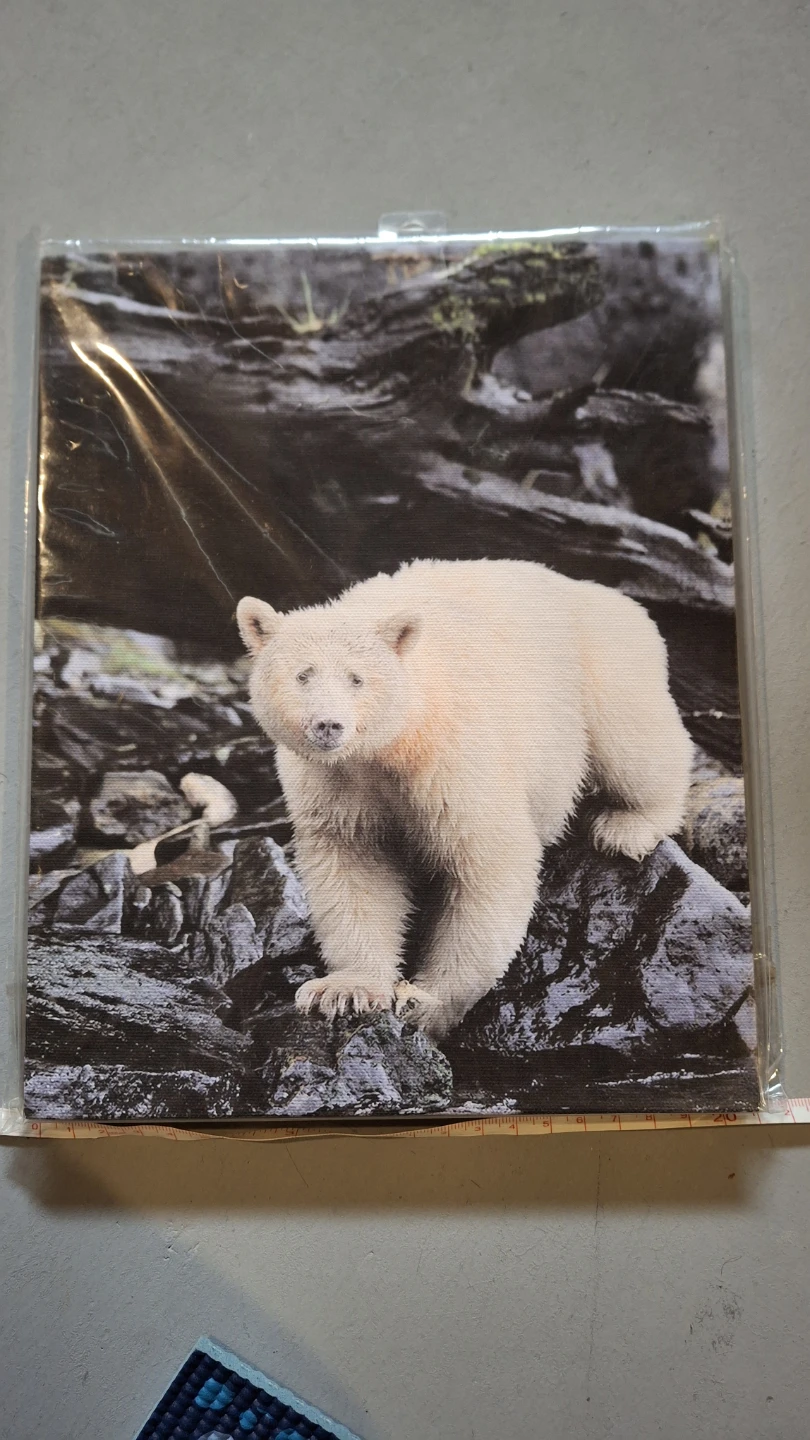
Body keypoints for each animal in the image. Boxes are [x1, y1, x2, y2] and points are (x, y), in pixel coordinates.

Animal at [237, 558, 693, 1038]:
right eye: (302, 675)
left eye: (356, 678)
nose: (328, 724)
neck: (393, 745)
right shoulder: (335, 786)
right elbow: (355, 868)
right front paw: (346, 990)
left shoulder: (453, 763)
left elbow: (489, 864)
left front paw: (425, 1002)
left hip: (597, 664)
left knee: (631, 740)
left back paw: (629, 826)